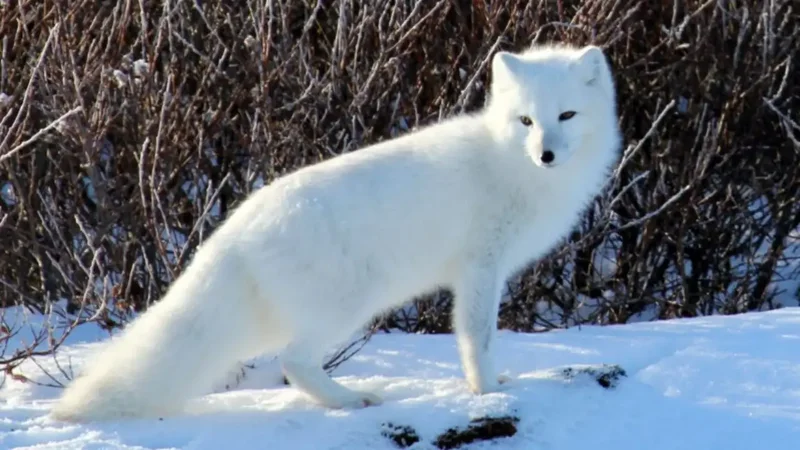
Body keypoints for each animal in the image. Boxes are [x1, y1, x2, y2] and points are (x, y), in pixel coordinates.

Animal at [51, 43, 622, 422]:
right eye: (526, 121)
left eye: (566, 115)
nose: (545, 154)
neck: (510, 165)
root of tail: (236, 227)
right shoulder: (480, 268)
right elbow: (476, 337)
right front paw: (487, 393)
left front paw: (496, 382)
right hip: (348, 305)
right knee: (294, 362)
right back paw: (351, 399)